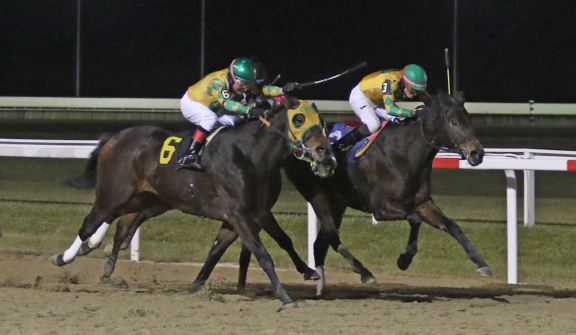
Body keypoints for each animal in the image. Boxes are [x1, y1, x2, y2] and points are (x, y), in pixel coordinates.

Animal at [53, 97, 338, 308]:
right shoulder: (239, 213)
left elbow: (268, 242)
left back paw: (99, 253)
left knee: (120, 221)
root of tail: (113, 138)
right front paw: (285, 296)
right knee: (90, 222)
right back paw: (65, 256)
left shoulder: (255, 212)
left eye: (322, 122)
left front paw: (308, 271)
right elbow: (261, 253)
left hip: (150, 199)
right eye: (299, 119)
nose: (325, 154)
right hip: (114, 193)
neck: (249, 155)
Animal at [201, 91, 490, 294]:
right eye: (453, 121)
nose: (477, 153)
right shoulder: (381, 207)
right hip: (316, 193)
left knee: (320, 245)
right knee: (328, 237)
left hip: (338, 202)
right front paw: (404, 259)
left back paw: (322, 287)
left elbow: (452, 226)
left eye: (468, 119)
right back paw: (359, 275)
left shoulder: (422, 202)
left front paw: (482, 263)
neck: (404, 153)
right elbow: (415, 220)